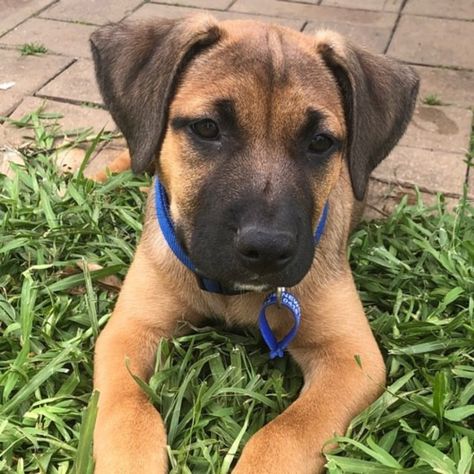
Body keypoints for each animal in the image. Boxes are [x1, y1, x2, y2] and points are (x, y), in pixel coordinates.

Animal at [90, 14, 418, 474]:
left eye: (320, 142)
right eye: (207, 128)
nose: (266, 249)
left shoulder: (352, 358)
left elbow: (285, 434)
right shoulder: (130, 329)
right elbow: (127, 410)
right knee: (135, 151)